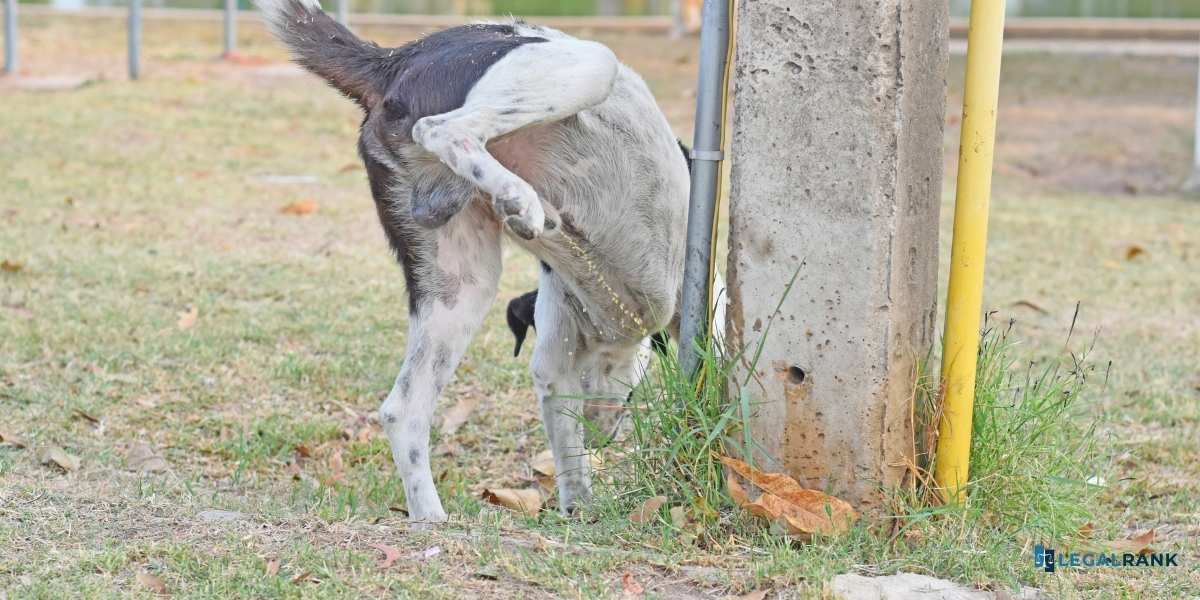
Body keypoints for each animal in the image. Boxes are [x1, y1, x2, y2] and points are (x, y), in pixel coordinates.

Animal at [258, 0, 720, 520]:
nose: (605, 434)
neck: (616, 321)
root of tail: (394, 58)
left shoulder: (553, 365)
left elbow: (571, 462)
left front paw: (580, 514)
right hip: (586, 64)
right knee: (444, 128)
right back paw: (521, 199)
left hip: (458, 284)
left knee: (402, 410)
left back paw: (431, 520)